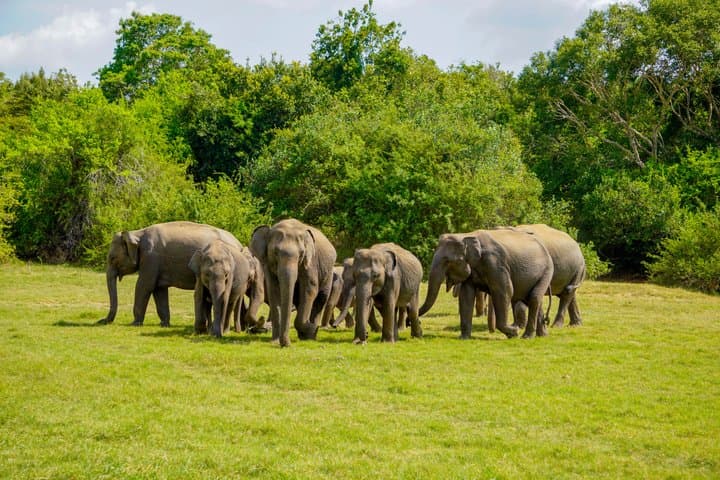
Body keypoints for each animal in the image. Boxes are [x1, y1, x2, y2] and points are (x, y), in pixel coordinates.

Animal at [98, 221, 242, 327]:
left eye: (112, 259)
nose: (101, 321)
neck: (137, 232)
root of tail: (239, 243)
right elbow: (159, 290)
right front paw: (164, 324)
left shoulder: (151, 258)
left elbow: (144, 286)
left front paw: (134, 324)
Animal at [249, 218, 336, 347]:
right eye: (275, 252)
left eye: (301, 254)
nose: (287, 345)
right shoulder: (268, 265)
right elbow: (274, 290)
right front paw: (275, 342)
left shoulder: (311, 263)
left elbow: (310, 289)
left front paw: (309, 328)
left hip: (328, 273)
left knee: (321, 299)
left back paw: (311, 335)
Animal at [418, 229, 554, 339]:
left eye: (447, 261)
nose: (418, 322)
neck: (467, 235)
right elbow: (466, 295)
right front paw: (464, 338)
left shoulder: (496, 263)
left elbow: (505, 291)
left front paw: (514, 333)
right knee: (533, 300)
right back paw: (542, 336)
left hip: (547, 271)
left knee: (534, 298)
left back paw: (527, 337)